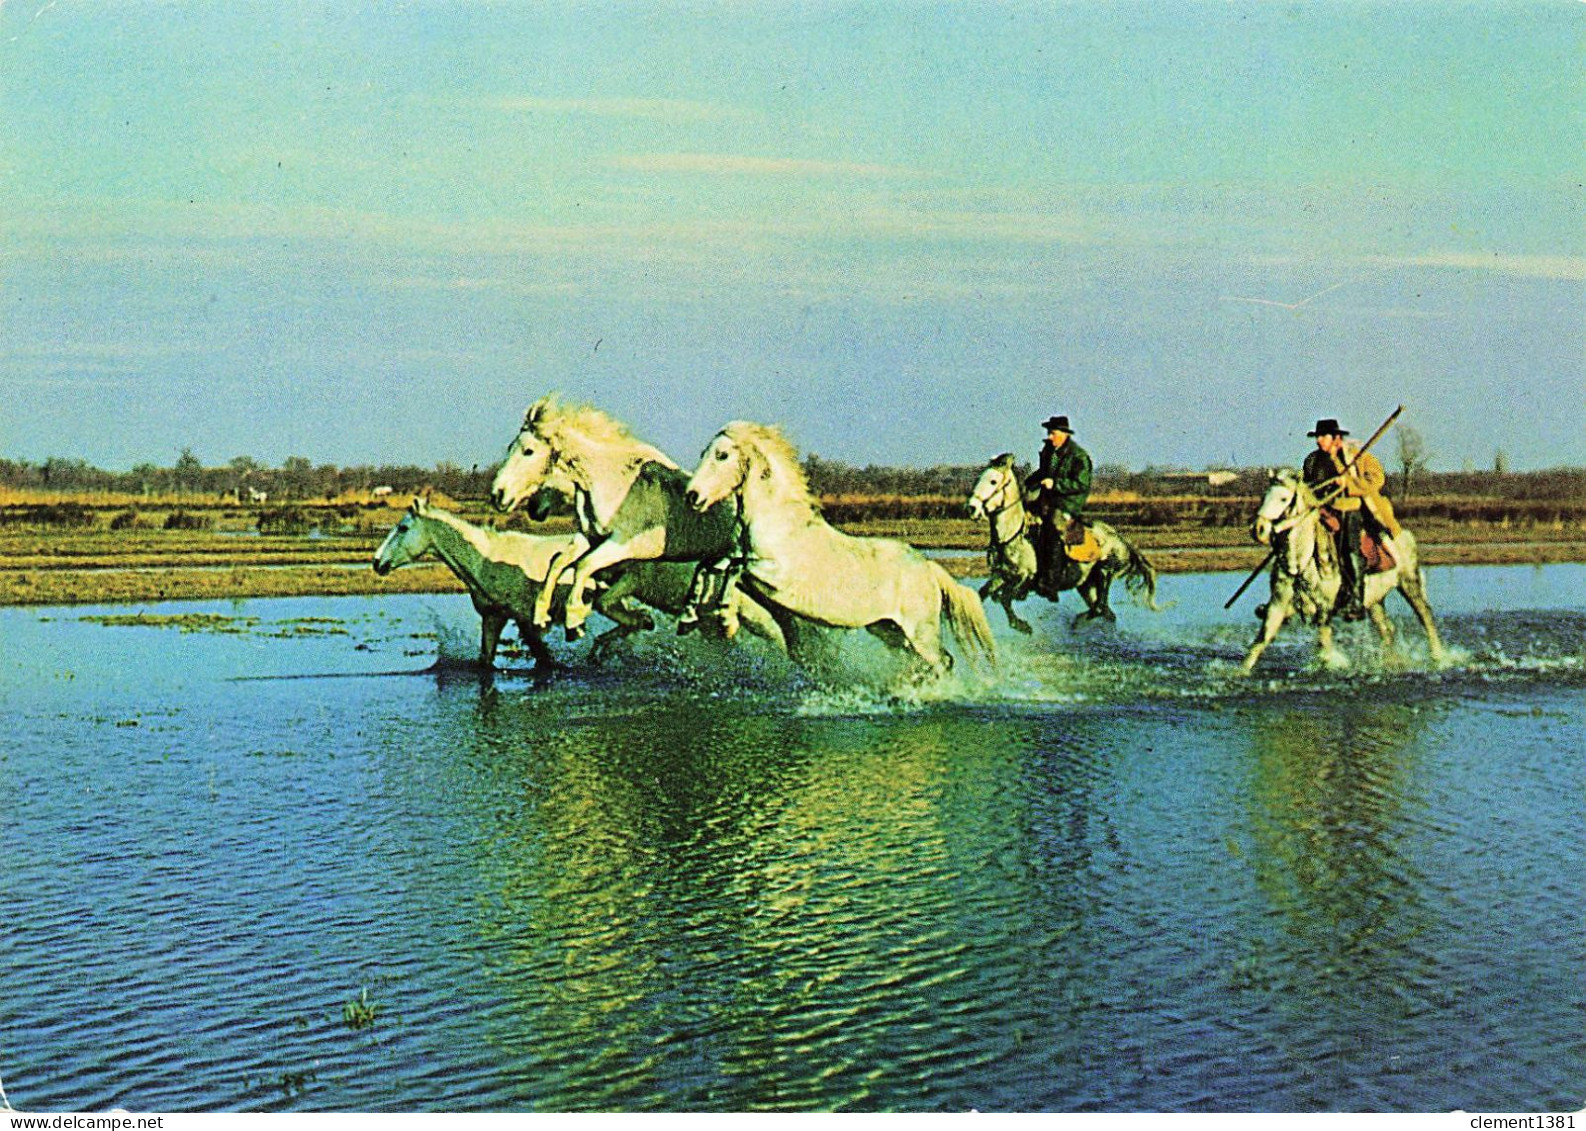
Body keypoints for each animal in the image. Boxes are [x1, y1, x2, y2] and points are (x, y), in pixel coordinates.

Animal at [681, 418, 989, 675]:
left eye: (722, 455)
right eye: (704, 453)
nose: (692, 496)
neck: (775, 521)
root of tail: (929, 568)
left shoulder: (774, 575)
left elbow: (735, 568)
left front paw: (723, 615)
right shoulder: (739, 558)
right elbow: (708, 565)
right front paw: (687, 617)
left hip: (920, 632)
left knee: (942, 661)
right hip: (889, 630)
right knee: (922, 662)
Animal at [957, 453, 1160, 634]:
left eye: (993, 481)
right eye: (978, 479)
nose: (971, 508)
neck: (1012, 535)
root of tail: (1121, 540)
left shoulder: (1023, 578)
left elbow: (1003, 598)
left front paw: (1022, 625)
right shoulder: (1001, 575)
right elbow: (985, 594)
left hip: (1105, 573)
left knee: (1099, 608)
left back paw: (1077, 623)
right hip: (1086, 585)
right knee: (1105, 612)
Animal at [1237, 466, 1452, 669]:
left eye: (1283, 498)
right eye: (1264, 497)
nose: (1258, 529)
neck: (1301, 560)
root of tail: (1402, 533)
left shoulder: (1324, 608)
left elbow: (1324, 646)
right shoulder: (1278, 605)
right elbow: (1260, 642)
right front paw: (1240, 672)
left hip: (1409, 583)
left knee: (1425, 617)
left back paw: (1438, 657)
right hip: (1374, 600)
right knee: (1386, 629)